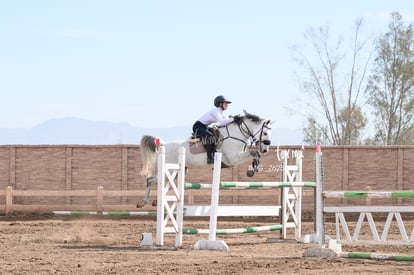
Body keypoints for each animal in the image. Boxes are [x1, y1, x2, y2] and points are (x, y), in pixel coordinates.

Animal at [137, 110, 272, 207]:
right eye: (265, 133)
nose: (265, 149)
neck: (235, 135)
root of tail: (164, 145)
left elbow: (255, 154)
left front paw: (253, 170)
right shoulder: (233, 158)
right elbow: (254, 153)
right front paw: (251, 171)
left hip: (178, 170)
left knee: (162, 182)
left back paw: (155, 201)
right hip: (170, 169)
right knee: (150, 180)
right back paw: (143, 202)